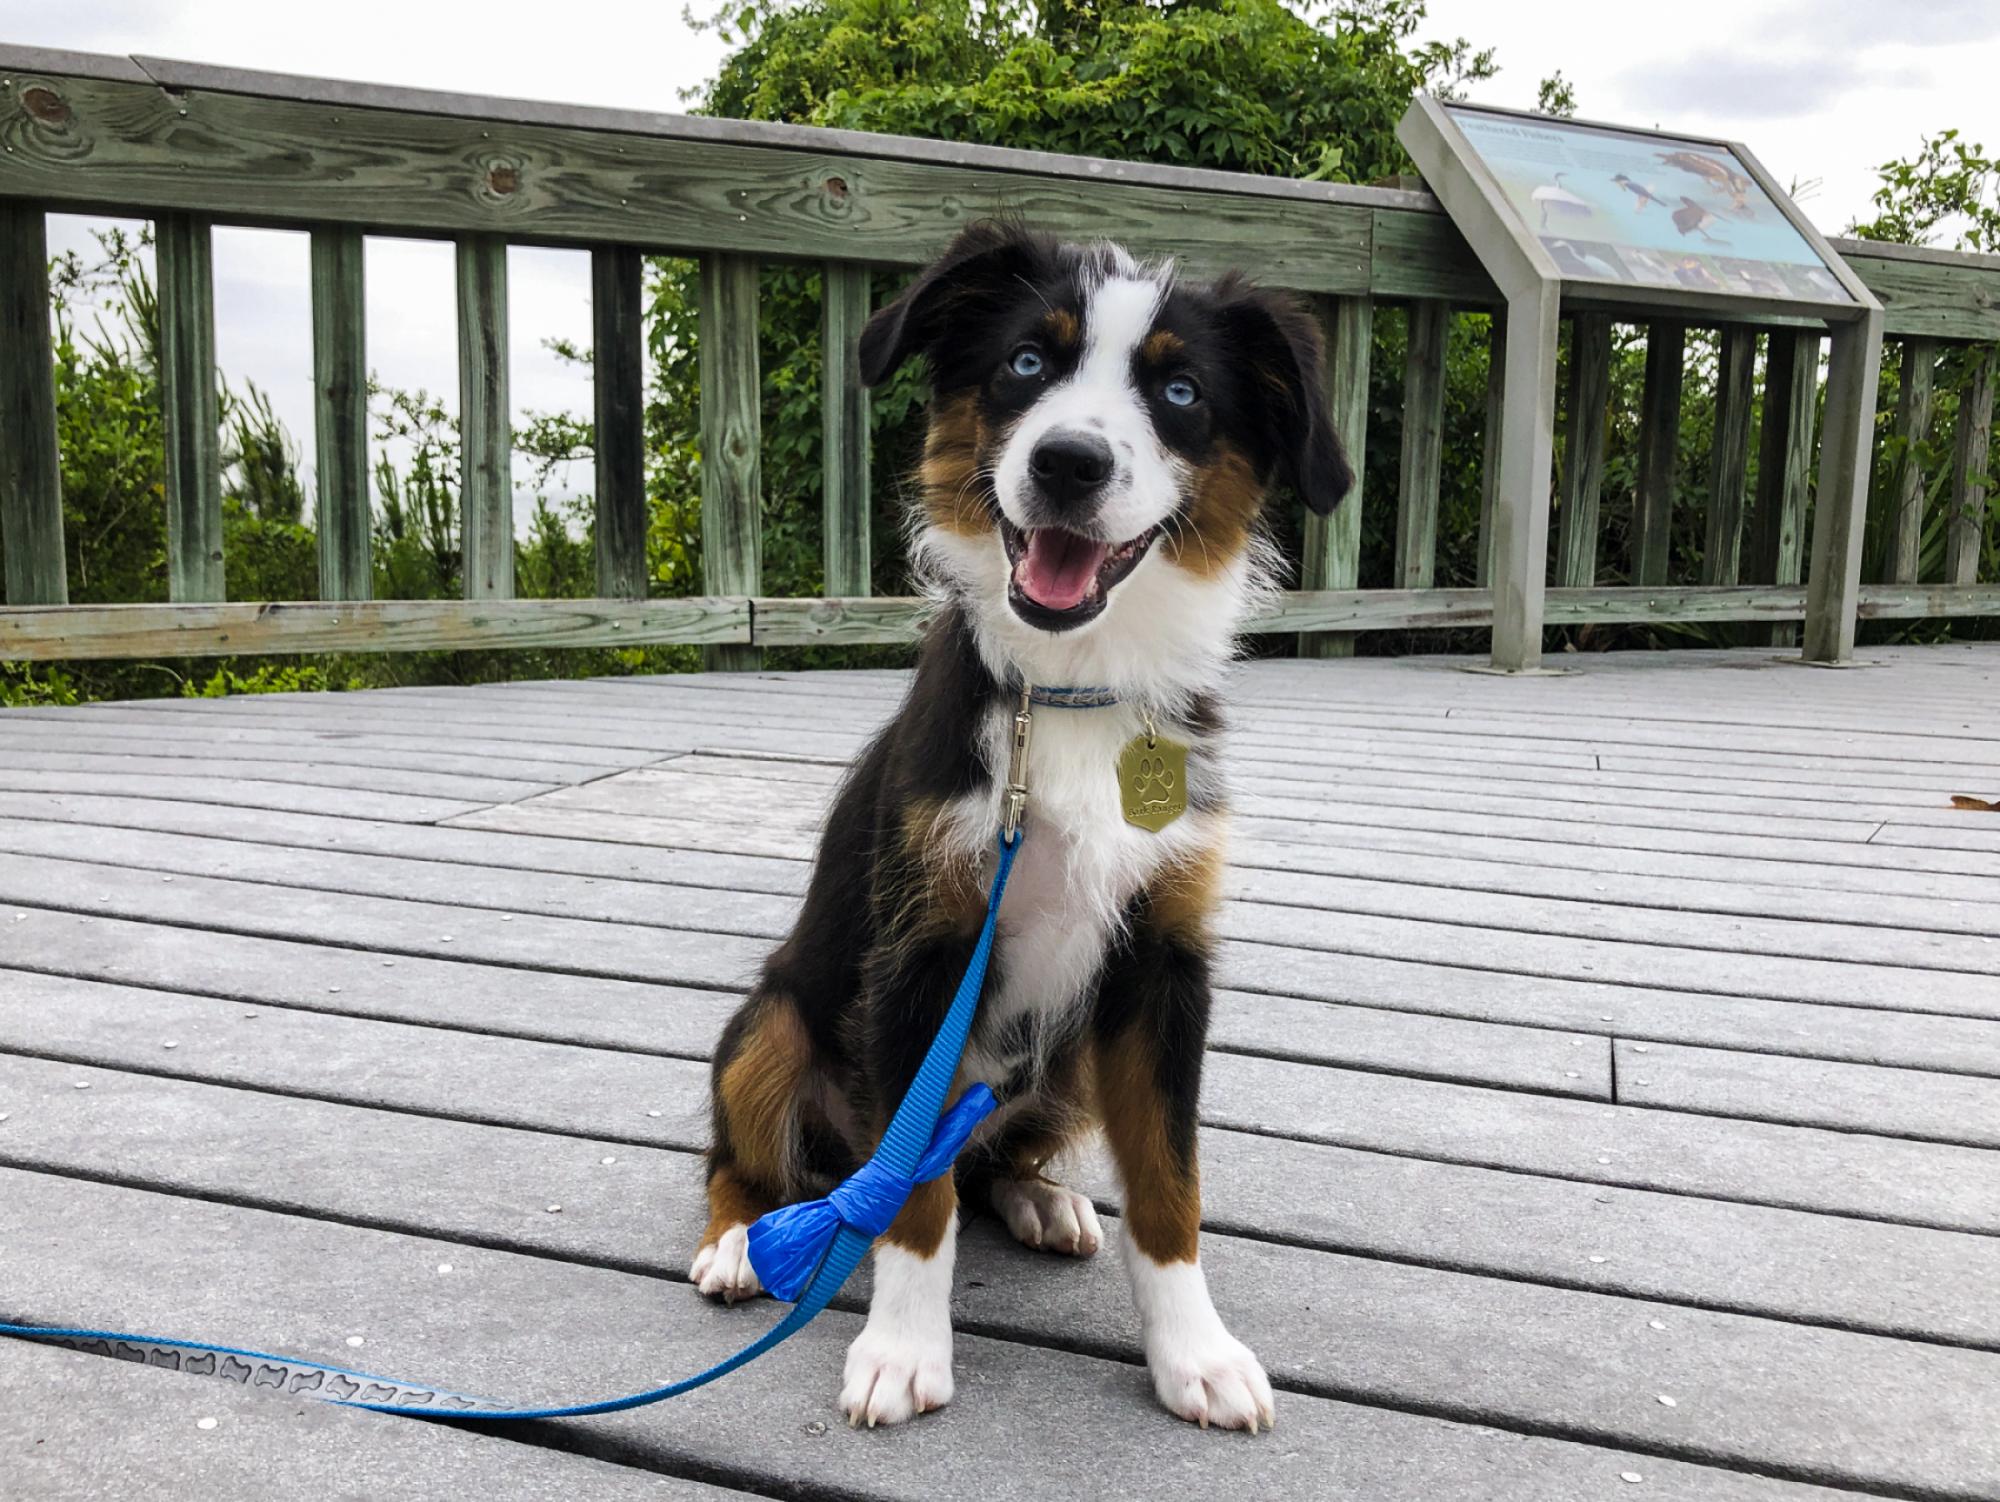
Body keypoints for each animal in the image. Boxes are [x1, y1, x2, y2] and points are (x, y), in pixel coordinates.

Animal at [692, 223, 1360, 1432]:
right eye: (1024, 364)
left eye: (1180, 391)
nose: (1068, 464)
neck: (1069, 691)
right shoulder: (923, 949)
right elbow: (910, 1192)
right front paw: (901, 1349)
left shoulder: (1162, 963)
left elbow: (1171, 1180)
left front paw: (1195, 1353)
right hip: (771, 1020)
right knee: (755, 1154)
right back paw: (734, 1242)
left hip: (1070, 1055)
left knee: (987, 1159)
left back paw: (1041, 1196)